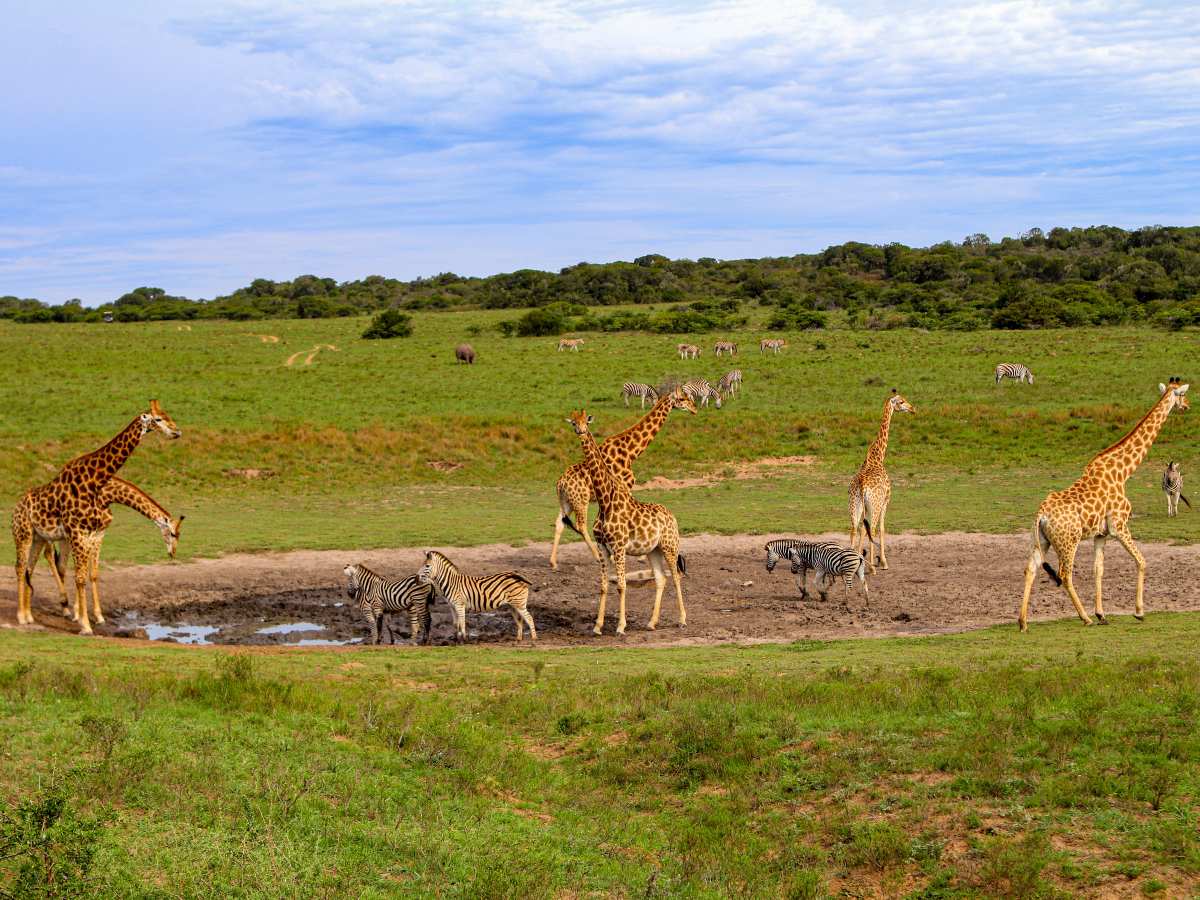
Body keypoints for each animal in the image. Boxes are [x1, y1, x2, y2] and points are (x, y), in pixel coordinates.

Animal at [11, 400, 181, 633]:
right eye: (158, 419)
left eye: (168, 415)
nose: (177, 432)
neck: (97, 484)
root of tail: (15, 508)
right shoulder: (77, 532)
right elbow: (80, 576)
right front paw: (85, 624)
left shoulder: (94, 533)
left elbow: (90, 574)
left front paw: (92, 617)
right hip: (24, 535)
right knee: (21, 568)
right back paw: (22, 616)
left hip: (39, 537)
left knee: (30, 568)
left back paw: (30, 616)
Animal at [549, 388, 700, 571]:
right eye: (683, 398)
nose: (694, 409)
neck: (631, 452)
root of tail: (560, 484)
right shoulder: (626, 486)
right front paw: (640, 554)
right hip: (580, 501)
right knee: (580, 524)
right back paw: (597, 556)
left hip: (566, 502)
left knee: (559, 523)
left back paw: (553, 562)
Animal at [568, 408, 691, 633]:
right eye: (573, 422)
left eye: (586, 422)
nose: (580, 431)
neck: (605, 501)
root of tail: (673, 517)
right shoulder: (602, 547)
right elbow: (604, 585)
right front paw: (597, 626)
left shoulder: (619, 547)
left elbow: (621, 585)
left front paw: (620, 626)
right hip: (653, 550)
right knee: (661, 579)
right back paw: (651, 623)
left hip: (670, 546)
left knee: (676, 577)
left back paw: (682, 619)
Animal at [844, 388, 916, 573]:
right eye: (901, 401)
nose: (913, 409)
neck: (877, 457)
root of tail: (862, 486)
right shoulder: (885, 501)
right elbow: (883, 529)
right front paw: (883, 562)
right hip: (874, 505)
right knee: (872, 529)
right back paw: (872, 567)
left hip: (854, 504)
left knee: (854, 529)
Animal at [1022, 376, 1190, 628]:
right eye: (1182, 394)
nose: (1187, 406)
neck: (1123, 472)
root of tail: (1040, 515)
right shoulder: (1119, 525)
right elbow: (1141, 561)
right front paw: (1138, 612)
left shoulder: (1101, 534)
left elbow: (1098, 569)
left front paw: (1102, 613)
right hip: (1068, 541)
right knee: (1065, 574)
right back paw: (1084, 618)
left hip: (1042, 540)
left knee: (1031, 568)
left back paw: (1022, 622)